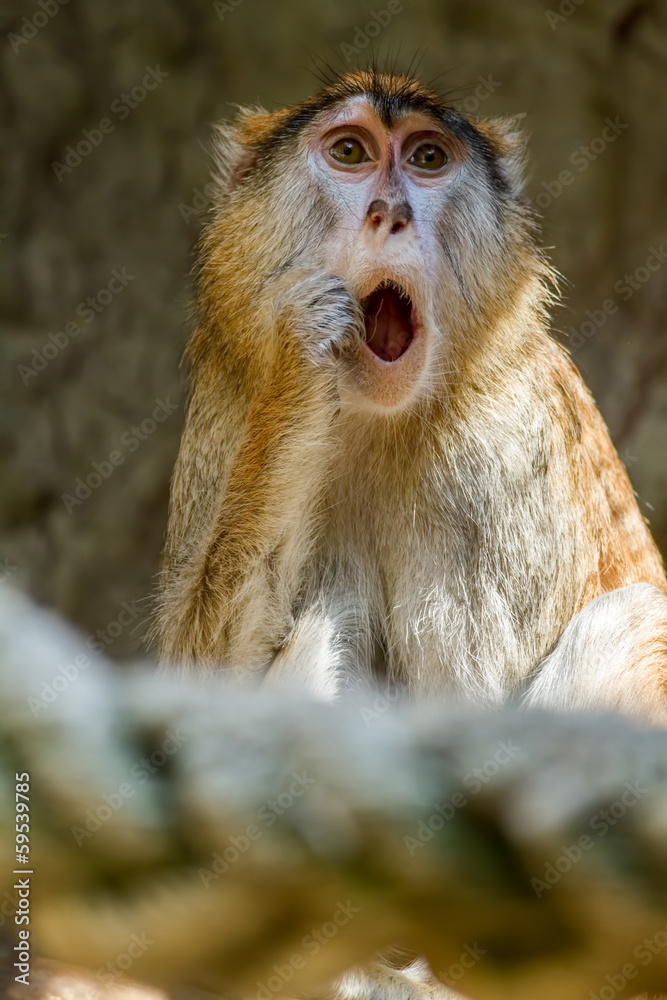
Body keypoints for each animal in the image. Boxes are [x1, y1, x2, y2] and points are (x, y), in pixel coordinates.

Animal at [156, 68, 667, 1000]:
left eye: (428, 159)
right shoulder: (222, 408)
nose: (389, 211)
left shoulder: (499, 450)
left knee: (630, 620)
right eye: (350, 152)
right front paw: (301, 359)